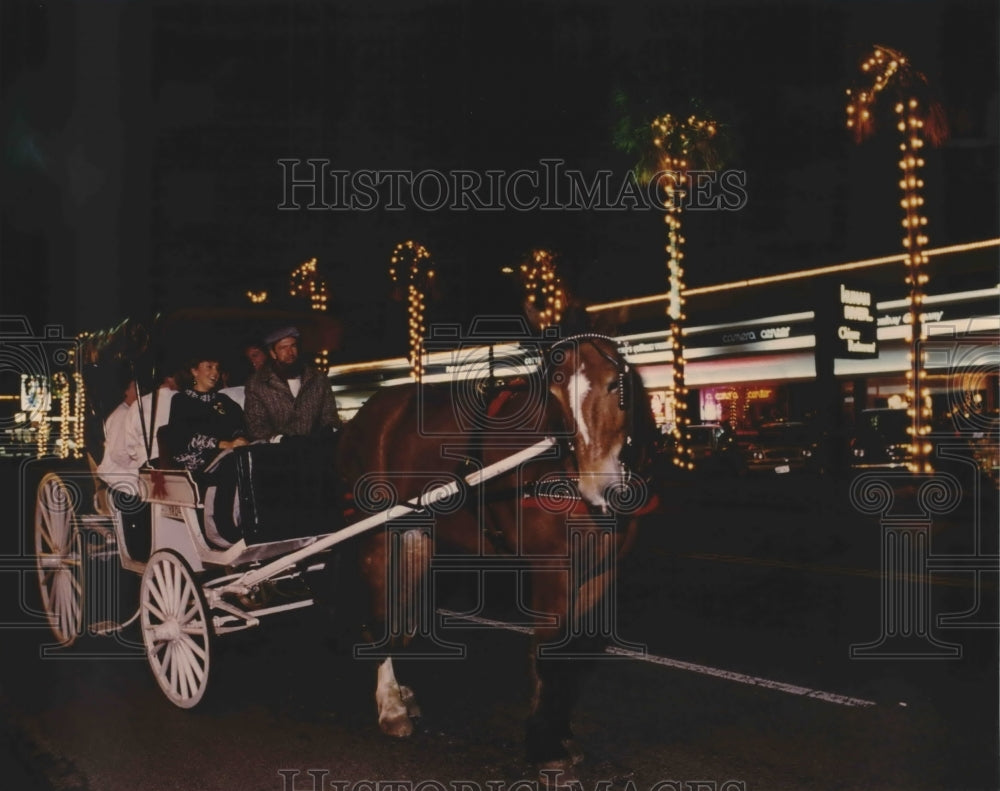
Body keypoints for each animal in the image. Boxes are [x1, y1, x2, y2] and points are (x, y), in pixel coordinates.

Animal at [330, 332, 656, 784]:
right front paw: (545, 747)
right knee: (378, 617)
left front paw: (563, 735)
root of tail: (361, 417)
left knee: (400, 615)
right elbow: (548, 655)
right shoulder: (552, 570)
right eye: (555, 392)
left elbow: (574, 654)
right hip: (374, 536)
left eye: (614, 385)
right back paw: (391, 707)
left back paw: (400, 692)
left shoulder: (600, 572)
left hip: (415, 536)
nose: (599, 485)